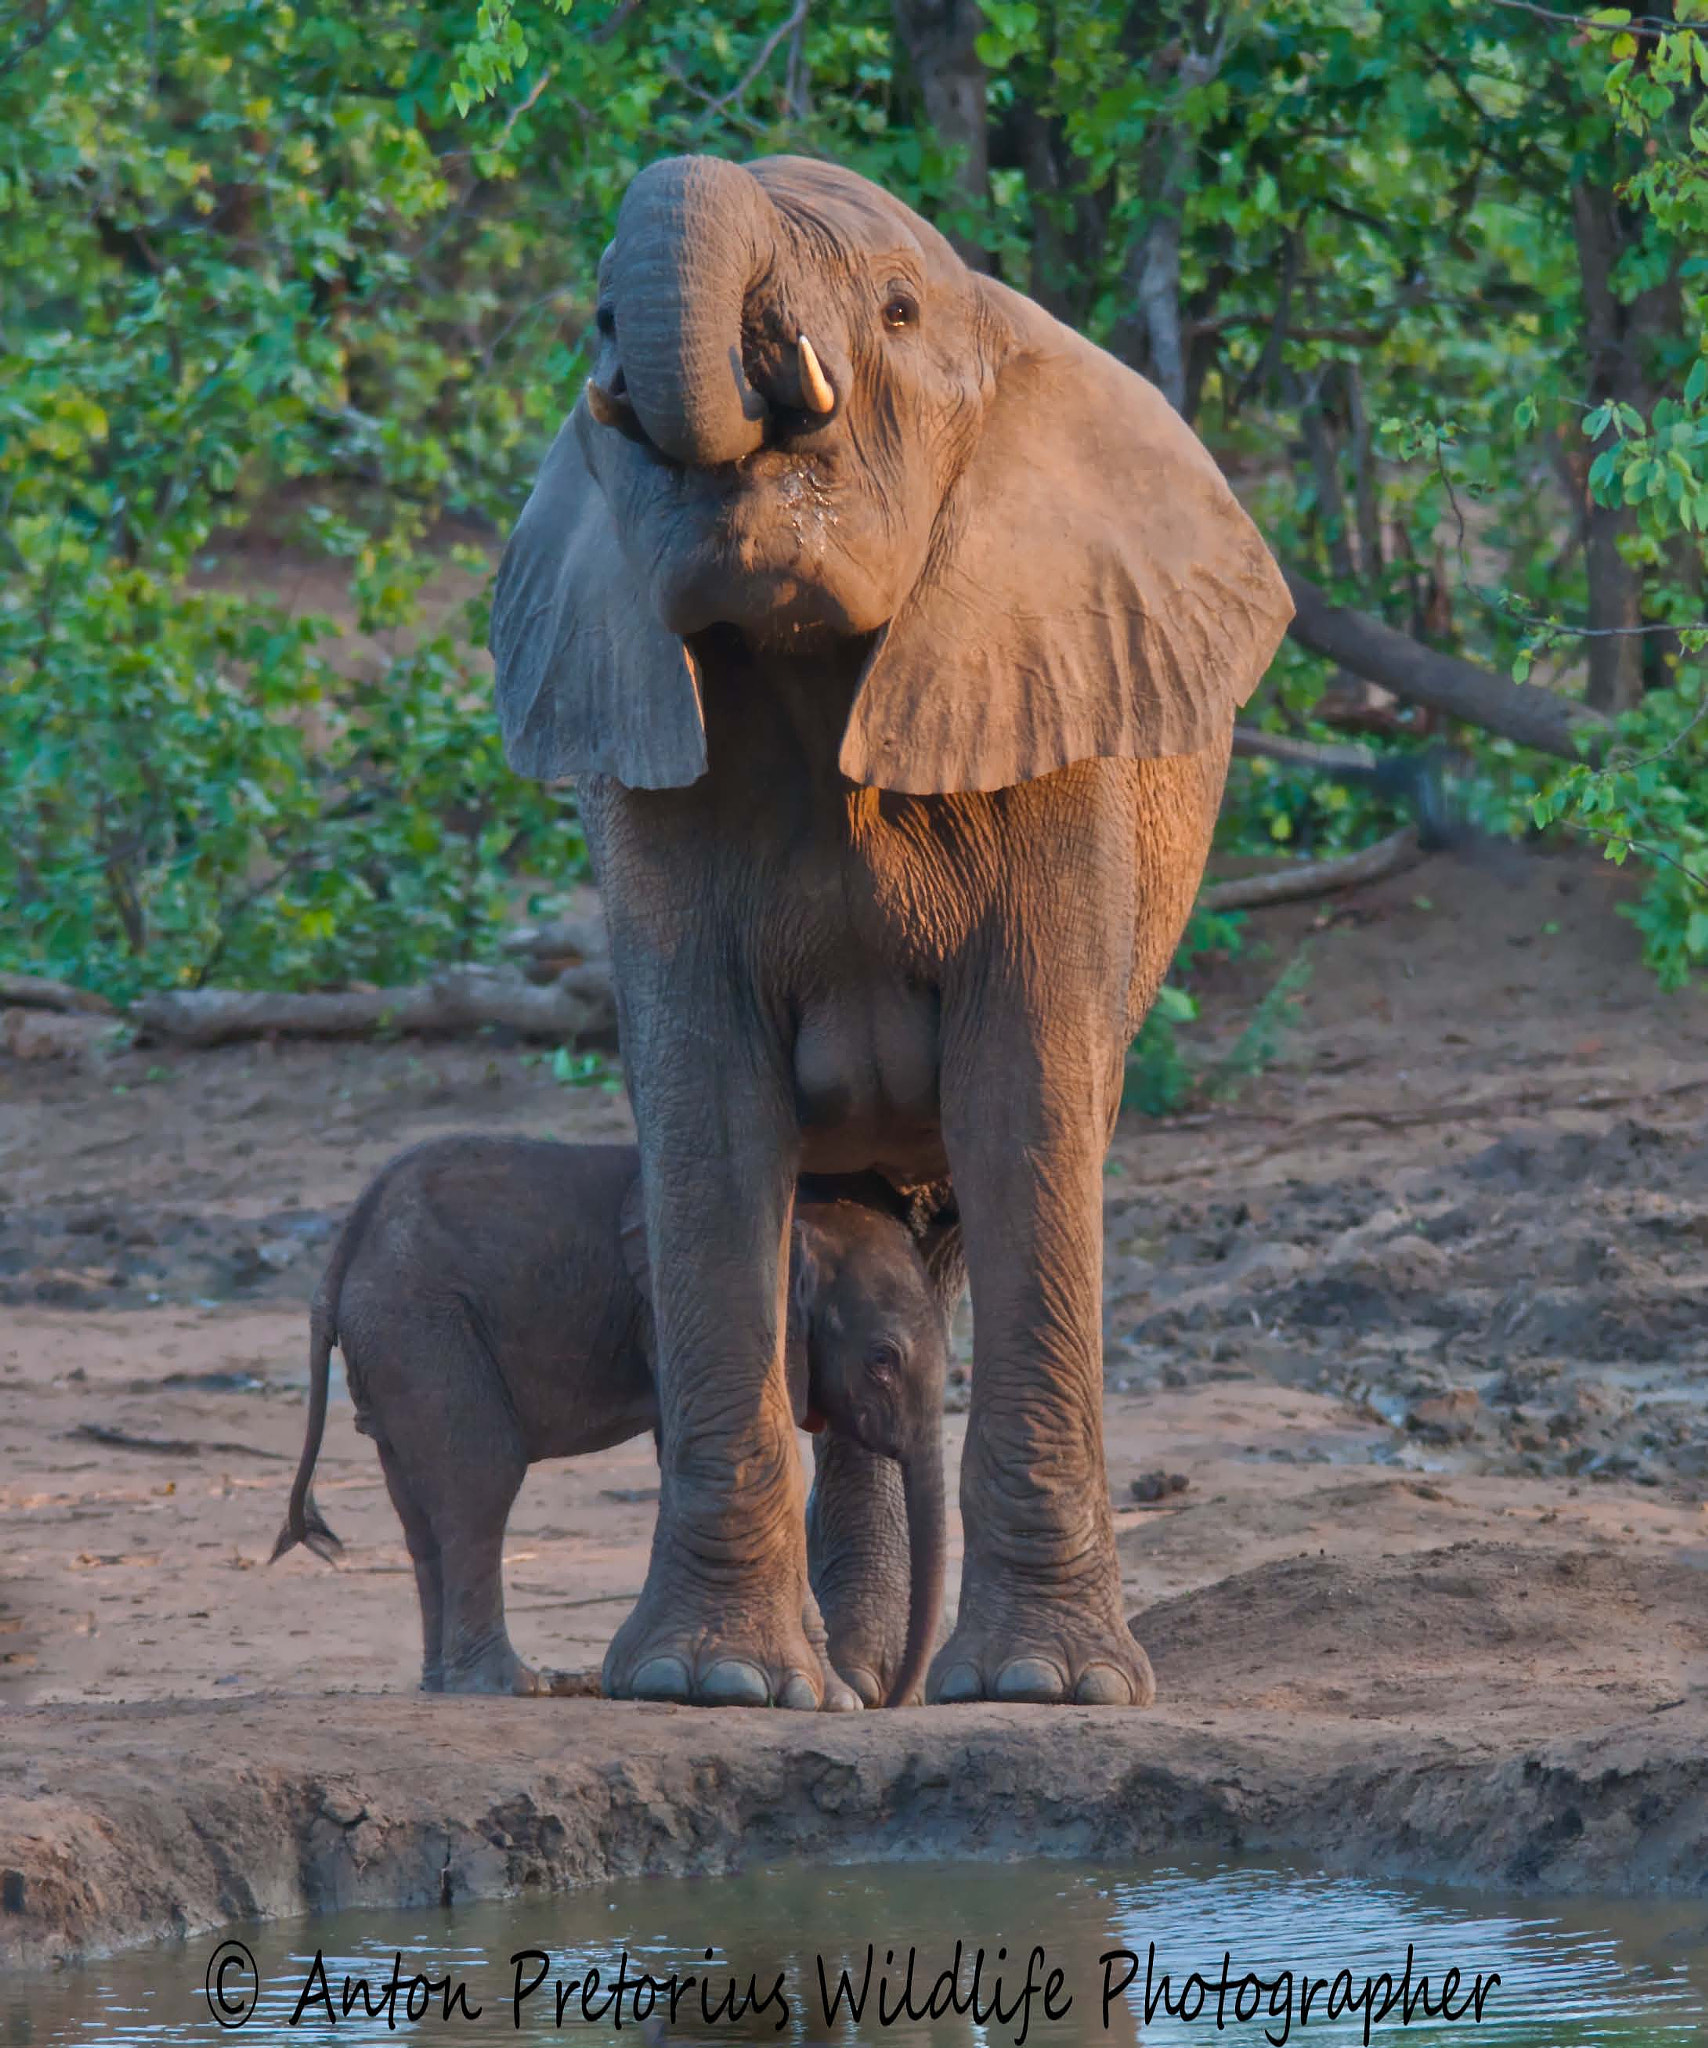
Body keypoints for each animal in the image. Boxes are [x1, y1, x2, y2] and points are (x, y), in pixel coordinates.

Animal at [269, 1137, 950, 1706]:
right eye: (882, 1360)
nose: (894, 1699)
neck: (805, 1217)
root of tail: (342, 1256)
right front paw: (836, 1697)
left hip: (391, 1345)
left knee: (419, 1510)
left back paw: (446, 1684)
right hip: (422, 1331)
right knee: (481, 1481)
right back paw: (510, 1687)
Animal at [490, 152, 1292, 1710]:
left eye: (902, 311)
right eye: (597, 316)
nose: (629, 338)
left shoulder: (1054, 732)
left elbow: (1021, 1107)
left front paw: (1046, 1692)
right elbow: (711, 1122)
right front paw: (710, 1688)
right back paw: (853, 1678)